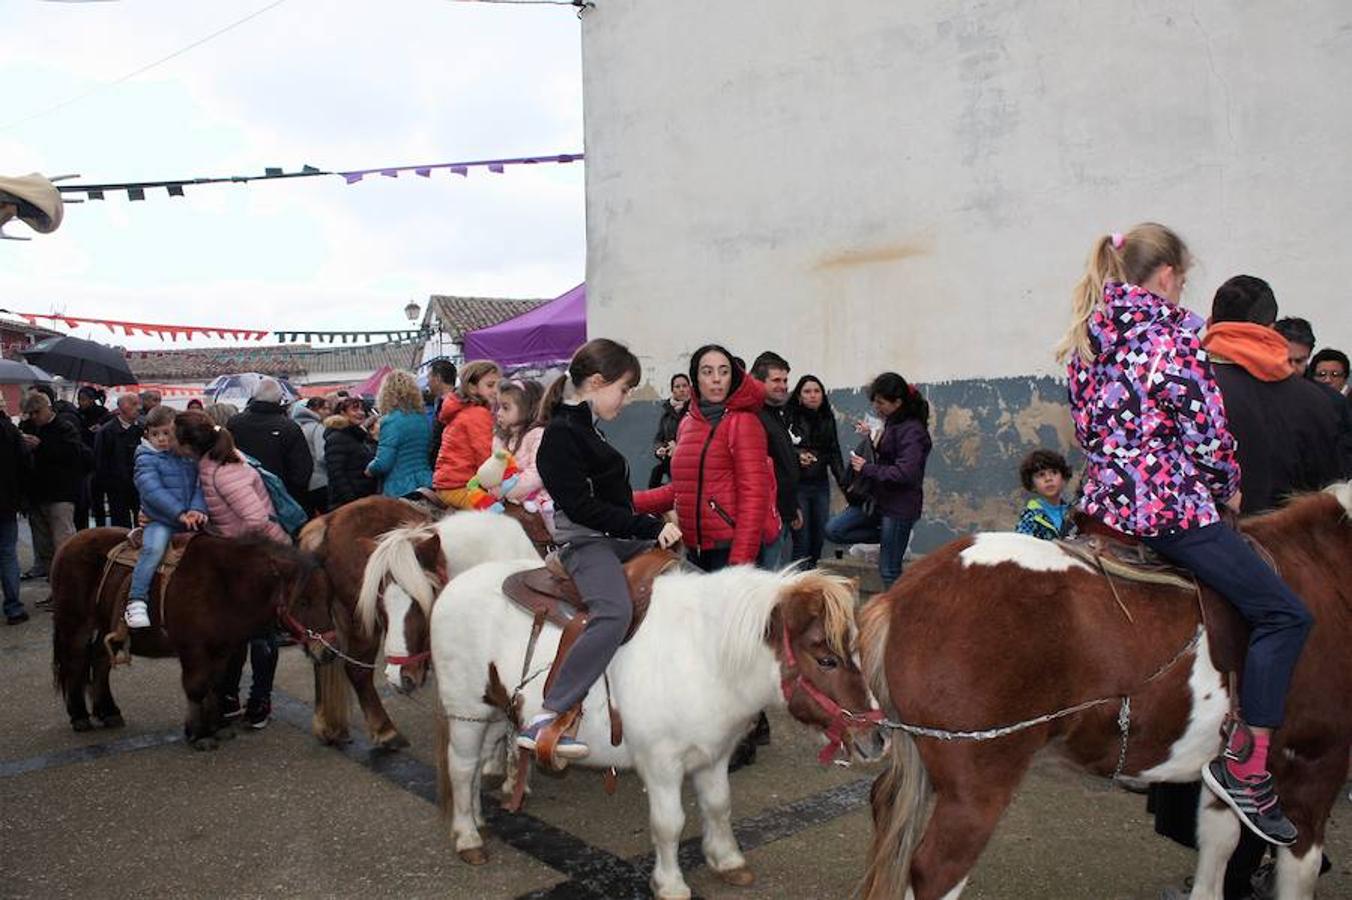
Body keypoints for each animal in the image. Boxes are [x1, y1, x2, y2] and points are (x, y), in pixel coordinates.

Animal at [50, 527, 327, 751]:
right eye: (304, 601)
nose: (327, 652)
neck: (223, 583)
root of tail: (68, 543)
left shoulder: (221, 650)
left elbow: (216, 685)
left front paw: (216, 726)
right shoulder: (194, 650)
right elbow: (197, 686)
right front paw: (200, 734)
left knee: (99, 661)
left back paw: (108, 711)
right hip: (75, 625)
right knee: (75, 664)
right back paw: (79, 716)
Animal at [427, 556, 881, 891]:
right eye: (826, 659)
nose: (876, 738)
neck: (703, 654)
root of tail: (454, 585)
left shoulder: (713, 755)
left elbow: (719, 805)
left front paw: (727, 861)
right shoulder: (662, 764)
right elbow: (669, 823)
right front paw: (670, 883)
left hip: (494, 707)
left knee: (476, 765)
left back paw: (479, 818)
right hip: (467, 710)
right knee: (462, 768)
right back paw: (467, 836)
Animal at [865, 483, 1352, 897]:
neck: (1327, 570)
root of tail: (904, 594)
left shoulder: (1226, 776)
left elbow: (1218, 847)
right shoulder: (1317, 764)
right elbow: (1299, 868)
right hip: (977, 788)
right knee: (936, 870)